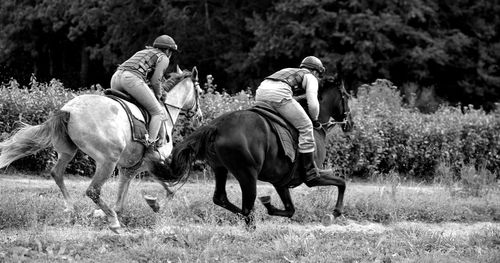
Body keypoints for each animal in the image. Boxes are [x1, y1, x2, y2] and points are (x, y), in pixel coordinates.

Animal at [0, 66, 201, 233]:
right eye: (199, 92)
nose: (199, 116)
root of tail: (68, 110)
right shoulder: (155, 161)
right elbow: (170, 189)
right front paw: (155, 206)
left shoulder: (129, 168)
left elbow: (123, 199)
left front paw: (100, 213)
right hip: (108, 160)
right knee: (93, 190)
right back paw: (112, 221)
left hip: (68, 151)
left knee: (57, 173)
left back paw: (73, 209)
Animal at [165, 75, 352, 228]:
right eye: (346, 97)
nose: (350, 124)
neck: (315, 125)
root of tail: (216, 126)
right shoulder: (314, 178)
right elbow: (342, 182)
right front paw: (333, 214)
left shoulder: (281, 182)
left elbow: (290, 210)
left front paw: (269, 206)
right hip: (247, 174)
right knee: (247, 209)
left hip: (220, 168)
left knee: (222, 199)